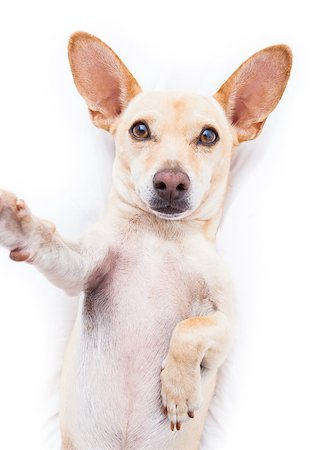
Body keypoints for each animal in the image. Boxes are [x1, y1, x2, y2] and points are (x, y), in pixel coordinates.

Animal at [0, 32, 290, 450]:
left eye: (209, 136)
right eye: (139, 130)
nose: (170, 181)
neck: (161, 234)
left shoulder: (224, 329)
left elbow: (190, 328)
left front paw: (178, 387)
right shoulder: (81, 268)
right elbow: (48, 241)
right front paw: (18, 223)